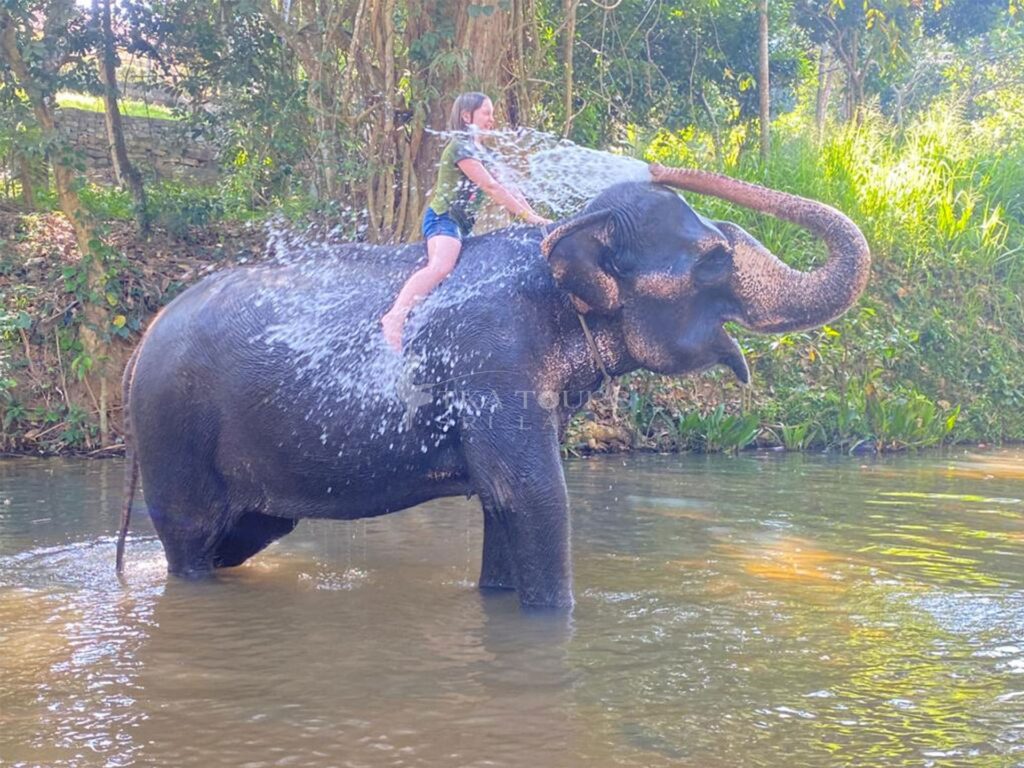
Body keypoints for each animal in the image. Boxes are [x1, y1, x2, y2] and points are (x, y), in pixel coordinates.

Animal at [117, 165, 872, 610]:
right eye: (714, 259)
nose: (657, 163)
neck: (558, 246)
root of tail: (143, 338)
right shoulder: (494, 357)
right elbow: (533, 496)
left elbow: (501, 505)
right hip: (172, 429)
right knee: (191, 537)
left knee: (249, 530)